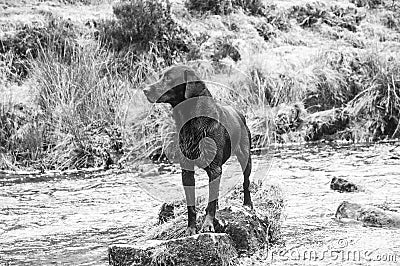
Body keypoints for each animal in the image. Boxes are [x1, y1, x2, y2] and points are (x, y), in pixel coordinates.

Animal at [142, 65, 252, 236]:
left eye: (168, 78)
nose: (145, 90)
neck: (191, 120)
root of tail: (239, 113)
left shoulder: (214, 169)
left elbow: (211, 203)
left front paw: (208, 225)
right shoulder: (187, 171)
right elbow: (191, 205)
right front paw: (191, 228)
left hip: (246, 157)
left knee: (246, 183)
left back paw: (248, 204)